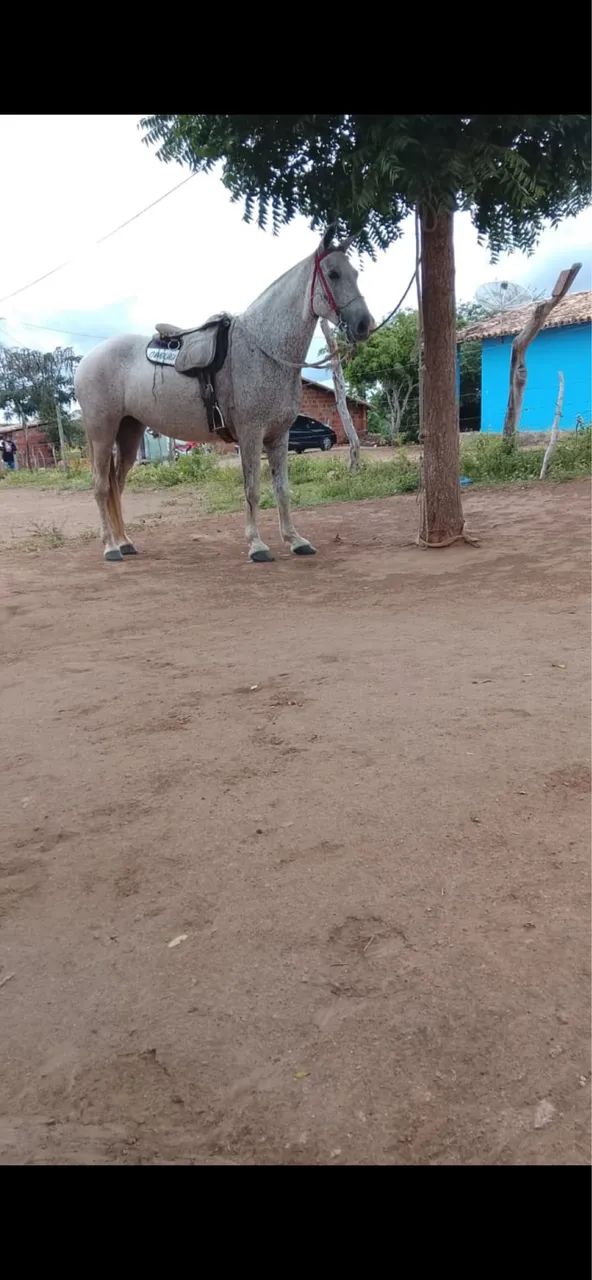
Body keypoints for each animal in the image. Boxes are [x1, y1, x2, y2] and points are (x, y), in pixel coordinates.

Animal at [74, 226, 374, 564]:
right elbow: (252, 489)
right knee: (101, 485)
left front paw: (295, 540)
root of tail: (86, 361)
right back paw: (110, 547)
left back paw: (125, 542)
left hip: (129, 432)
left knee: (116, 484)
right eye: (333, 274)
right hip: (102, 431)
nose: (365, 324)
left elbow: (282, 489)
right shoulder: (251, 434)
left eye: (355, 273)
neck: (263, 348)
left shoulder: (279, 436)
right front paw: (257, 545)